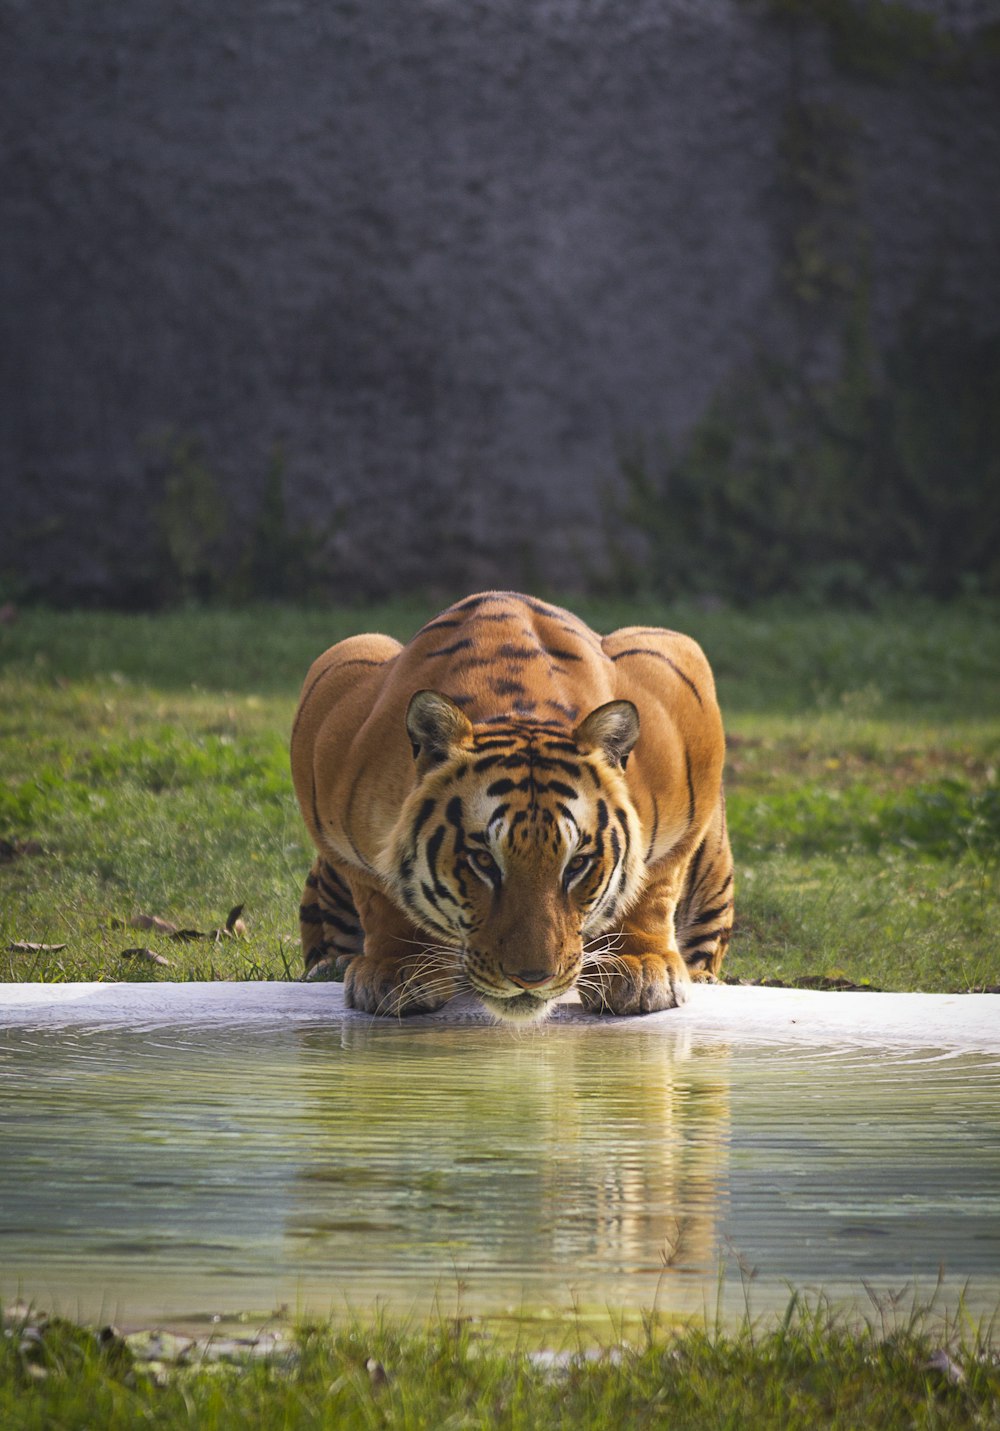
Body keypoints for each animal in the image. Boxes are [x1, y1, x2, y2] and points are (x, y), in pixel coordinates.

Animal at [288, 589, 738, 1018]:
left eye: (577, 864)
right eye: (483, 861)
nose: (532, 979)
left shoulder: (679, 683)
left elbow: (655, 882)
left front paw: (640, 967)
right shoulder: (331, 714)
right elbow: (378, 893)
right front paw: (397, 968)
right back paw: (332, 965)